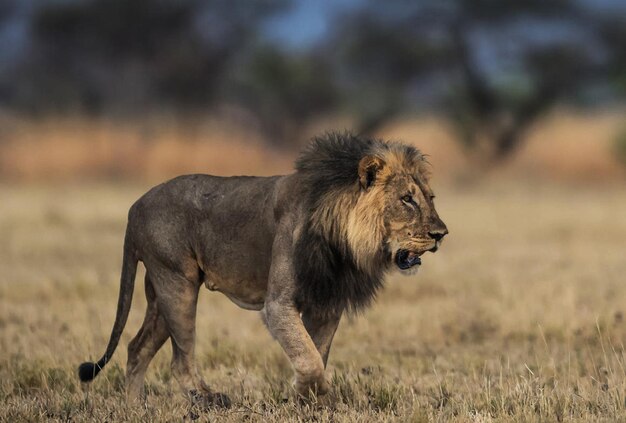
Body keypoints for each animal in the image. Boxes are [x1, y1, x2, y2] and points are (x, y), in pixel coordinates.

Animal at [78, 133, 446, 408]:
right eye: (406, 199)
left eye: (430, 197)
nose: (441, 234)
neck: (341, 238)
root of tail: (135, 208)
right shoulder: (278, 304)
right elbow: (309, 357)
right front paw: (307, 395)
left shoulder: (326, 303)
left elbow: (316, 352)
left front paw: (306, 400)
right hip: (177, 283)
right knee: (179, 359)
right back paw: (210, 399)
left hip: (159, 291)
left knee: (136, 348)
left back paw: (135, 408)